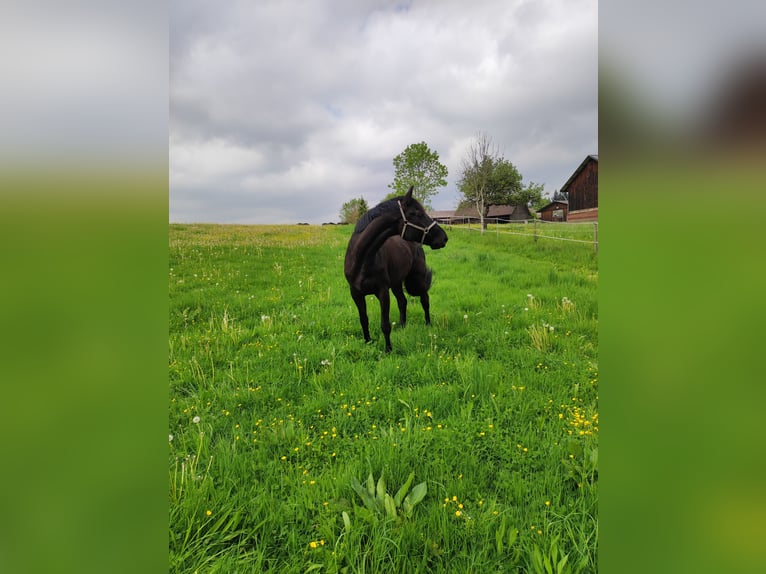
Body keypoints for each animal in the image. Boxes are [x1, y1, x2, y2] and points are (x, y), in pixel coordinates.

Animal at [344, 186, 448, 352]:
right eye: (417, 213)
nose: (443, 238)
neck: (362, 260)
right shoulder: (356, 293)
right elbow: (363, 319)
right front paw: (368, 342)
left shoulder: (383, 292)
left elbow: (385, 324)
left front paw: (388, 350)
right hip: (396, 283)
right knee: (402, 301)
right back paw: (402, 325)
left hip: (418, 278)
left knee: (424, 300)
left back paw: (428, 324)